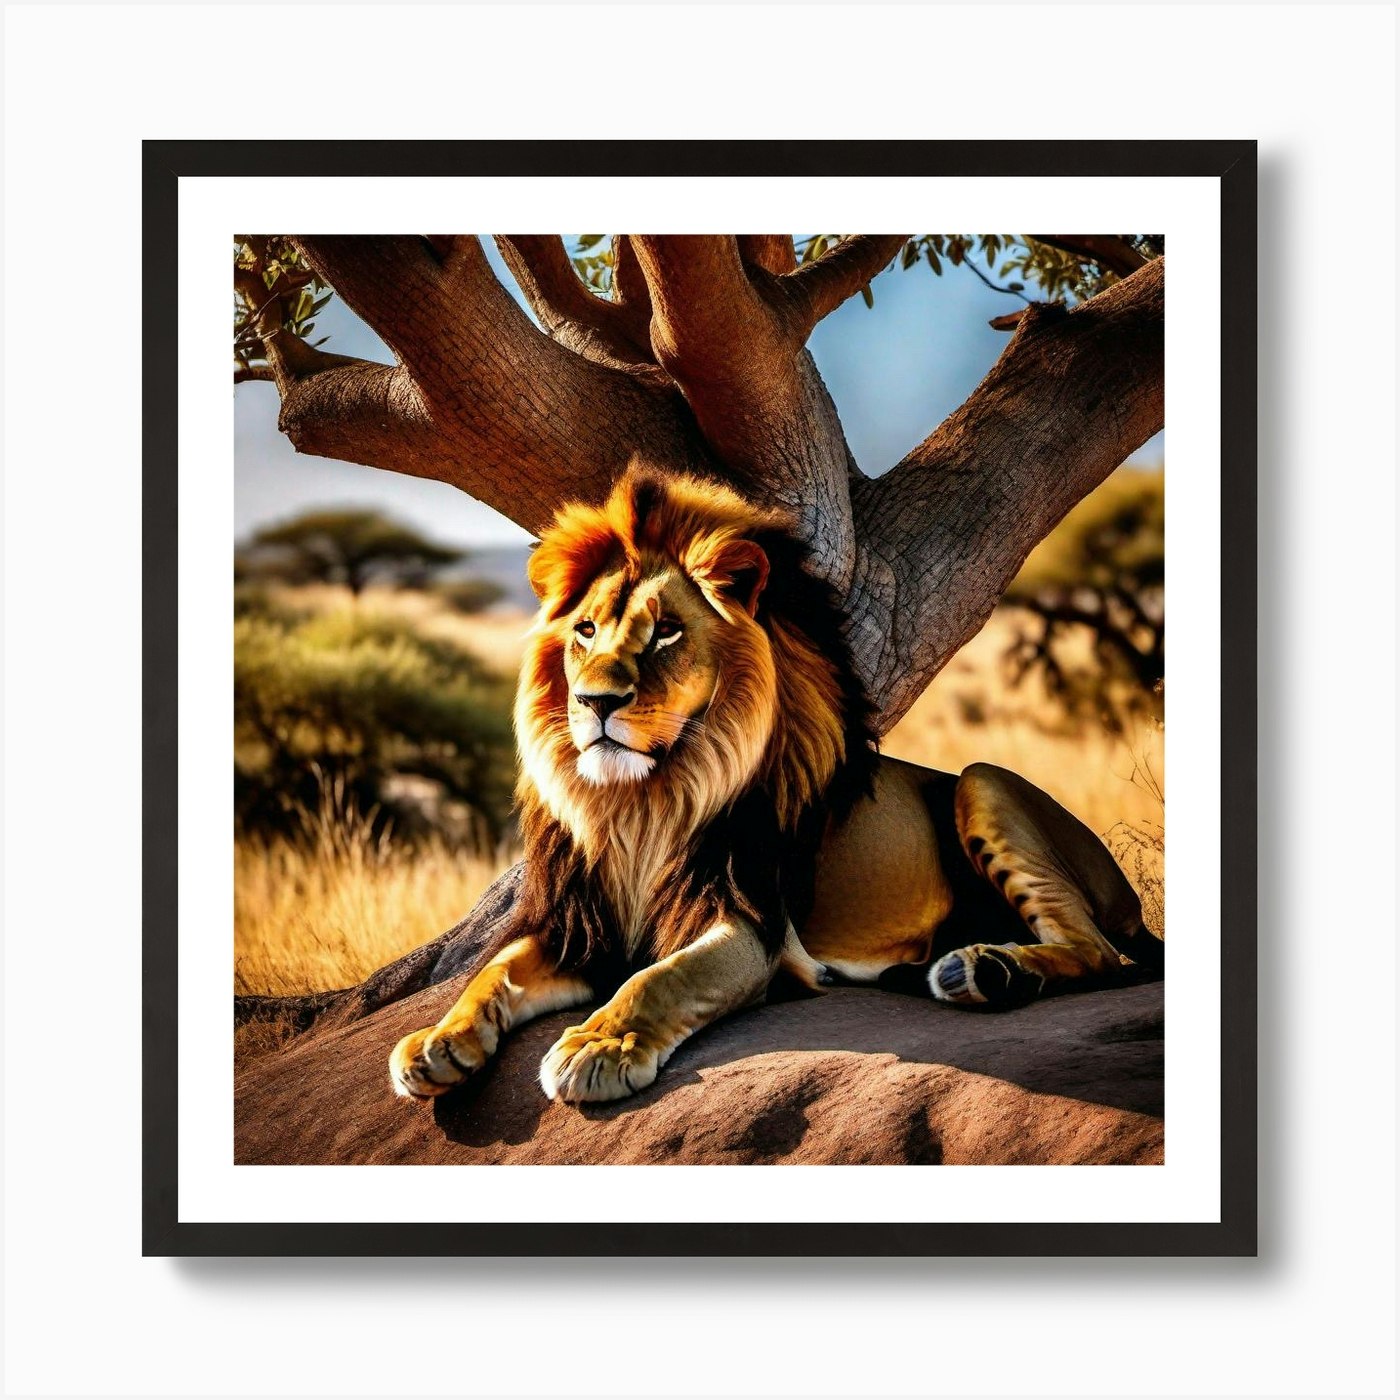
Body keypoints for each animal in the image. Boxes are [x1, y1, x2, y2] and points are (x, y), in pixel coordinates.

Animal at [390, 465, 1163, 1104]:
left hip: (983, 781)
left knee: (1100, 952)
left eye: (667, 632)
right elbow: (492, 971)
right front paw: (433, 1042)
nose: (595, 701)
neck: (639, 804)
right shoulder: (577, 932)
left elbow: (657, 979)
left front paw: (597, 1047)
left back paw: (983, 970)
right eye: (584, 631)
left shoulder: (751, 925)